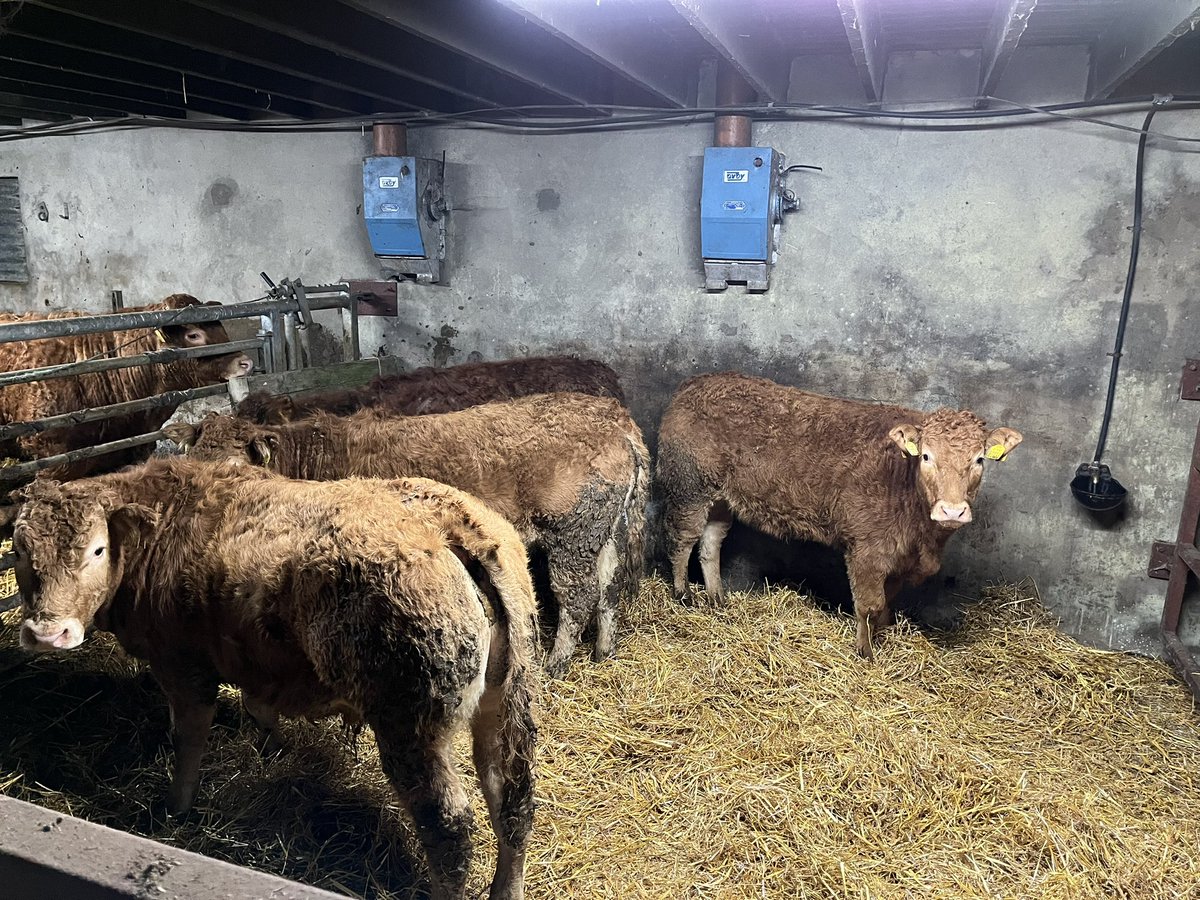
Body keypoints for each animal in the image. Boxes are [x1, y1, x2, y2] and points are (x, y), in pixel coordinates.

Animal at [7, 461, 539, 900]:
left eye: (97, 550)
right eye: (18, 551)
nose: (47, 633)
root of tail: (449, 528)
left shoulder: (182, 666)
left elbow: (189, 739)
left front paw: (175, 809)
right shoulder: (255, 661)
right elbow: (259, 709)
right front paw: (272, 749)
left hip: (410, 723)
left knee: (448, 826)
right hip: (507, 701)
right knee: (511, 799)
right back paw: (506, 888)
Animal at [167, 392, 649, 677]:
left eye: (237, 468)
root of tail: (616, 419)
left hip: (571, 532)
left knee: (579, 596)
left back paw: (555, 663)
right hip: (606, 531)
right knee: (608, 587)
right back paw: (604, 649)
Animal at [656, 372, 1022, 659]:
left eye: (979, 459)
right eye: (926, 456)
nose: (952, 510)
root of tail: (694, 384)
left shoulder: (899, 558)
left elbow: (886, 605)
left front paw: (884, 639)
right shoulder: (867, 548)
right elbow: (868, 605)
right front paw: (866, 654)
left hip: (720, 499)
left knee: (710, 543)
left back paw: (717, 598)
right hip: (689, 486)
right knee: (682, 539)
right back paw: (684, 595)